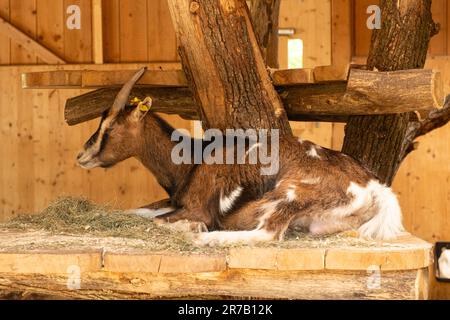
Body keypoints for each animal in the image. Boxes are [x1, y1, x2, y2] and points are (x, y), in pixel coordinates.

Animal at [77, 69, 404, 246]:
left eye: (111, 126)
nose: (82, 155)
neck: (191, 162)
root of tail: (375, 187)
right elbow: (135, 211)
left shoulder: (197, 208)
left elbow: (158, 221)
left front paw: (196, 228)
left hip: (288, 196)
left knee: (268, 234)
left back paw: (207, 238)